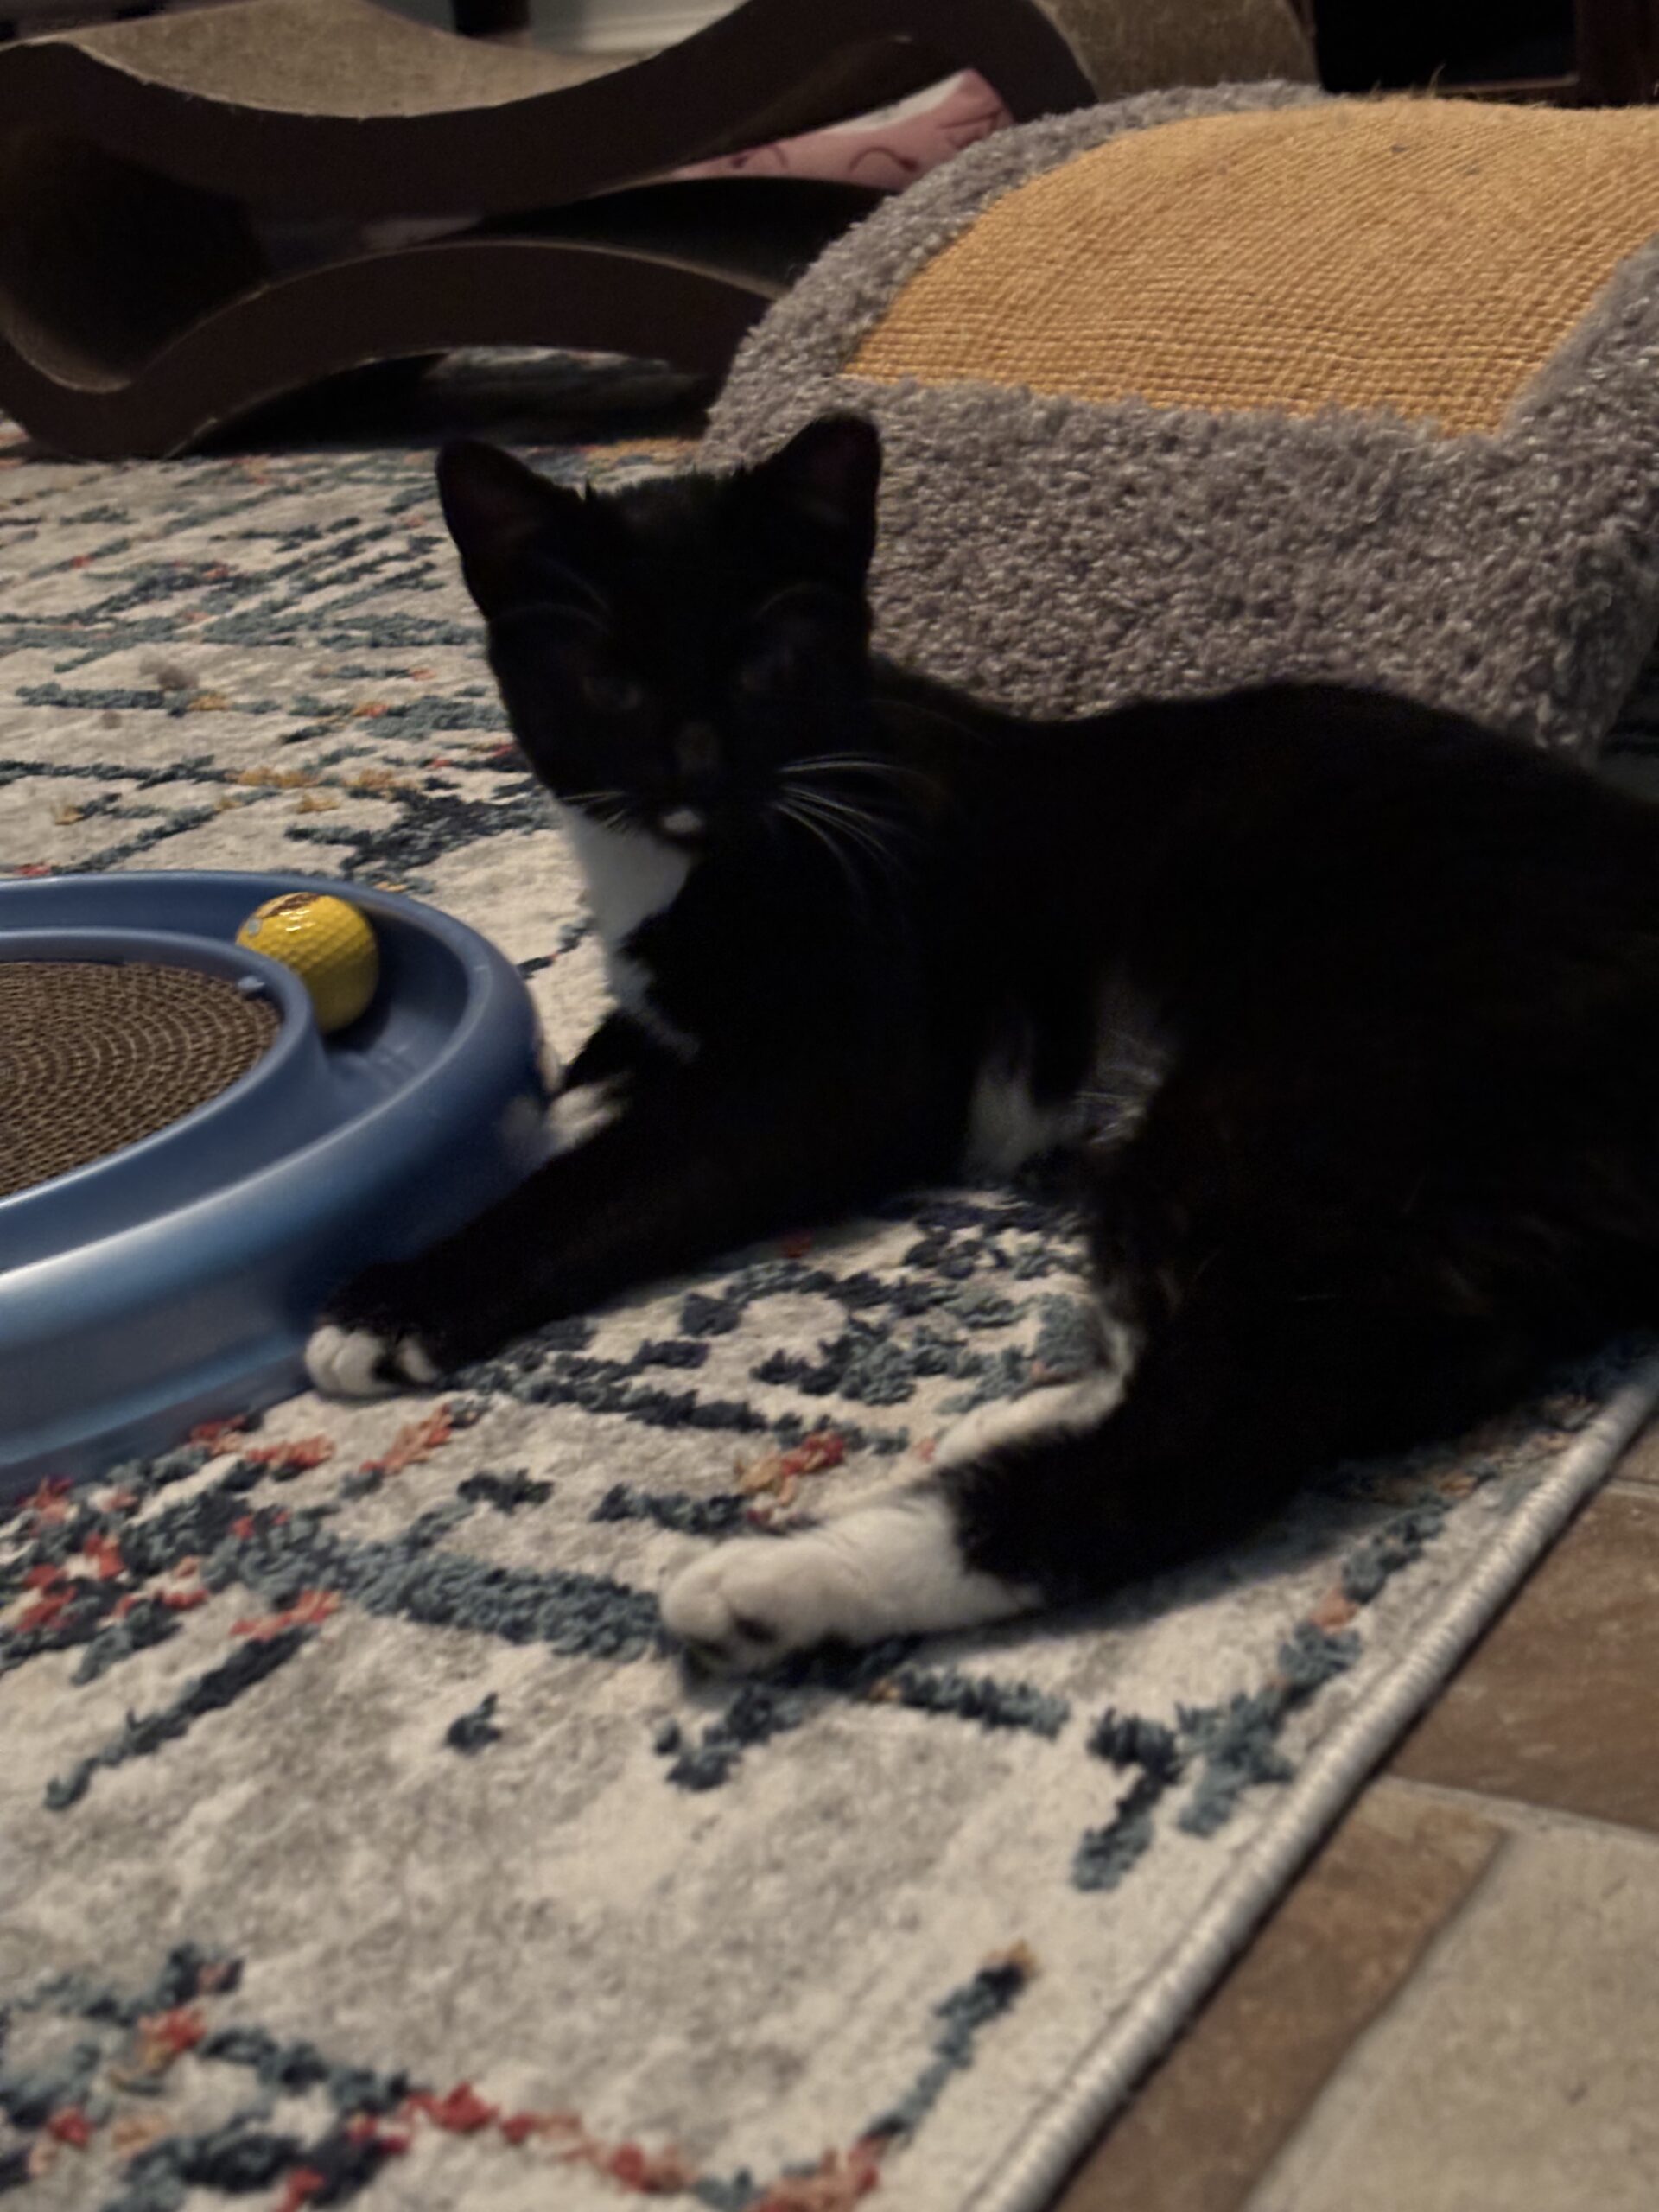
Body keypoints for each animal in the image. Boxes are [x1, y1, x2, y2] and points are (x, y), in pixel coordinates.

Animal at [306, 413, 1659, 1672]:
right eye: (608, 684)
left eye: (767, 666)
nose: (692, 770)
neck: (706, 853)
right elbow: (600, 1065)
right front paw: (536, 1116)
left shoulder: (850, 1066)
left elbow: (627, 1175)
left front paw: (400, 1300)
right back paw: (990, 1427)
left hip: (1318, 1079)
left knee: (1211, 1428)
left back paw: (778, 1586)